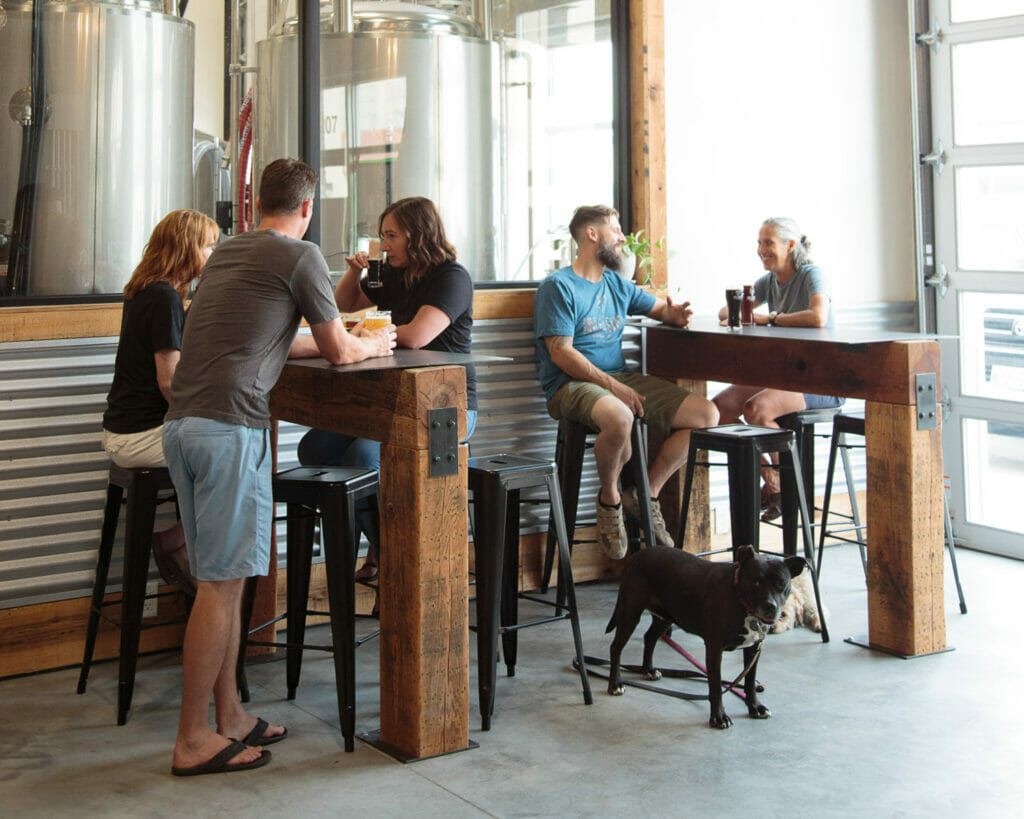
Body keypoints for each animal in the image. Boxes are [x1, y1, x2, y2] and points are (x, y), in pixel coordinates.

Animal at [602, 544, 802, 728]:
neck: (739, 597)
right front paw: (719, 717)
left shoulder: (753, 649)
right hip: (630, 613)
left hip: (667, 616)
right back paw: (615, 684)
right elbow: (715, 686)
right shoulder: (714, 650)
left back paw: (648, 670)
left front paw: (755, 707)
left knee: (649, 638)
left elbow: (750, 682)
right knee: (616, 648)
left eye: (781, 583)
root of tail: (636, 556)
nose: (770, 606)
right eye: (756, 583)